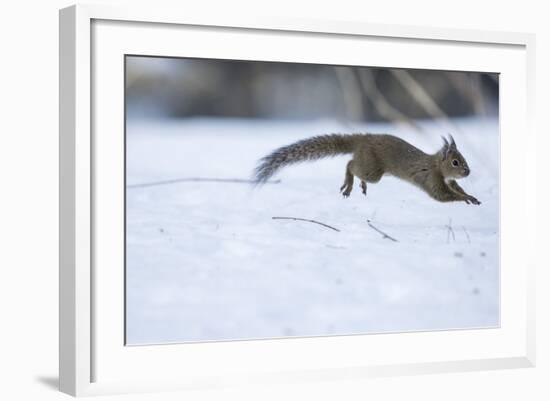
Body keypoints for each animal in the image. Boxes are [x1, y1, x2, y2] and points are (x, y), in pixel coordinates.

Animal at [254, 134, 484, 205]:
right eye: (455, 162)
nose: (468, 172)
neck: (437, 165)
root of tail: (363, 138)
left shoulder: (449, 181)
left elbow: (456, 189)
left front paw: (471, 197)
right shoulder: (432, 179)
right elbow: (443, 195)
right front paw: (466, 199)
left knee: (354, 165)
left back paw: (359, 185)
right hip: (373, 171)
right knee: (350, 165)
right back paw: (349, 184)